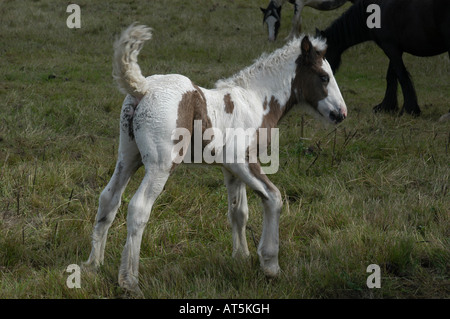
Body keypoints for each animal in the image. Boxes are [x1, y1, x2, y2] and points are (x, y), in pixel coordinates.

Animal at [318, 0, 450, 117]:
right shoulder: (394, 49)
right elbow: (391, 75)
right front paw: (387, 106)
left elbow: (401, 76)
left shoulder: (390, 48)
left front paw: (409, 110)